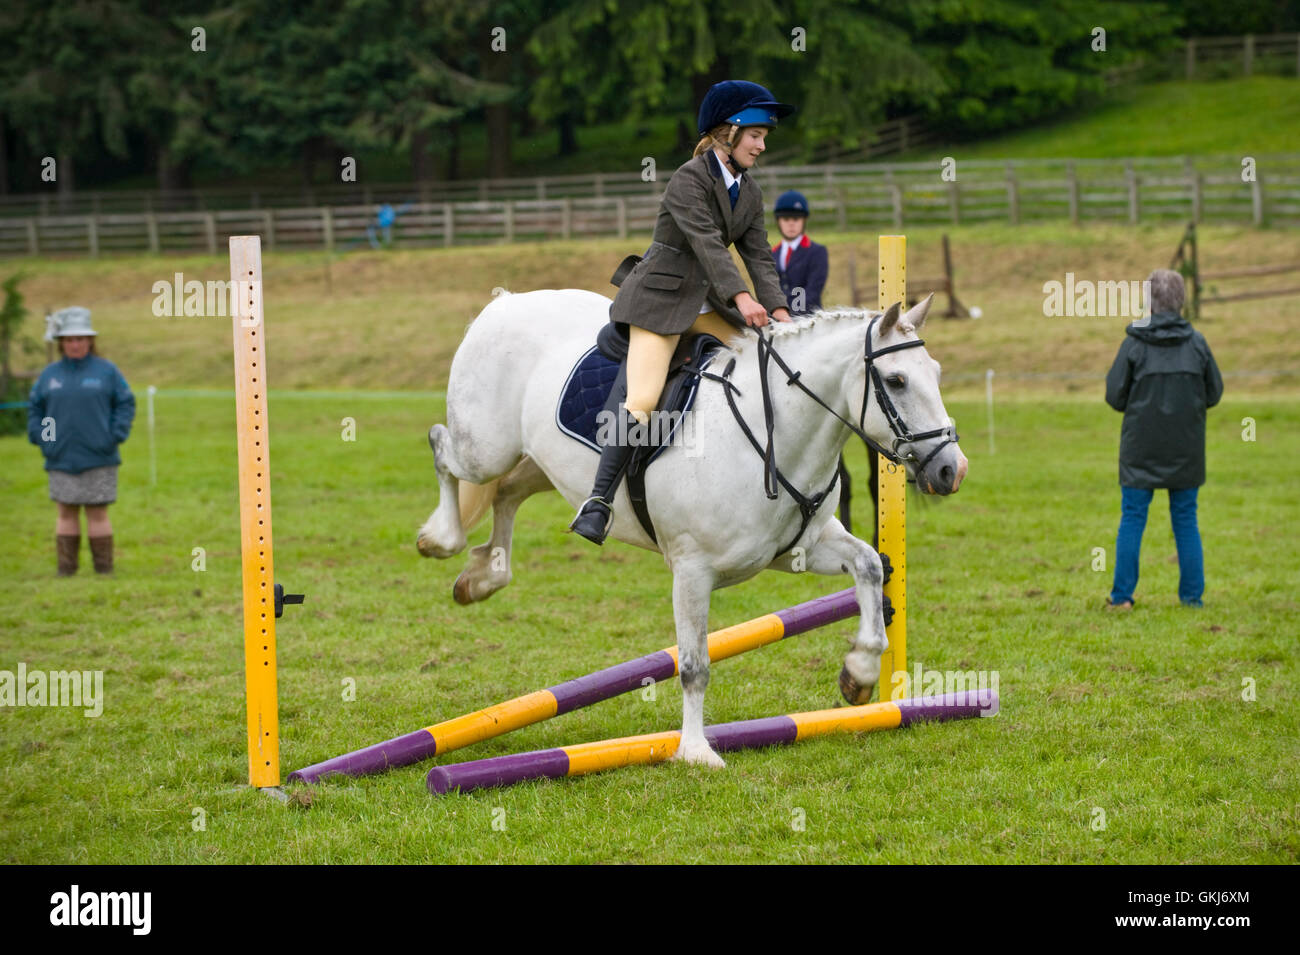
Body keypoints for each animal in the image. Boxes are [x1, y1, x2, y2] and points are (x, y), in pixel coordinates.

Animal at [418, 291, 967, 769]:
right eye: (896, 380)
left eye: (938, 374)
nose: (951, 470)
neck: (773, 434)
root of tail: (505, 301)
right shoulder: (692, 571)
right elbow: (694, 665)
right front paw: (697, 752)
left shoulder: (800, 549)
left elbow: (870, 566)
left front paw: (859, 675)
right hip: (485, 447)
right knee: (444, 448)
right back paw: (440, 540)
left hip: (538, 462)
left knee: (507, 492)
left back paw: (482, 578)